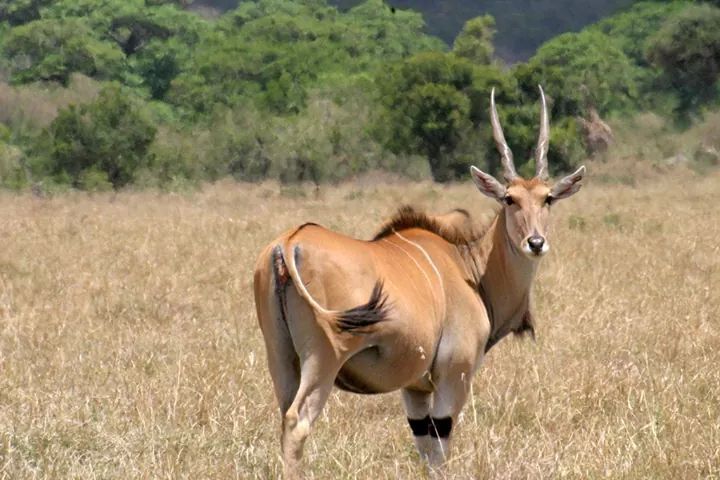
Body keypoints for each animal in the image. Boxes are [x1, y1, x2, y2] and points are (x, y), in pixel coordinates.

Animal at [253, 87, 584, 476]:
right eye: (509, 199)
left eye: (548, 198)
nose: (535, 242)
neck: (469, 266)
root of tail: (287, 243)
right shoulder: (453, 375)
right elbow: (439, 448)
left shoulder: (414, 388)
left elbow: (423, 444)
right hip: (323, 359)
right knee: (296, 423)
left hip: (280, 357)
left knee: (283, 417)